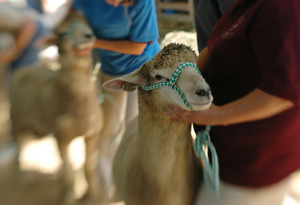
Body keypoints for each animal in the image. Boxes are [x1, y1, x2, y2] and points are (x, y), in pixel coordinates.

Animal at [9, 11, 103, 205]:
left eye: (86, 21)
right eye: (61, 33)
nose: (88, 36)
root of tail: (26, 68)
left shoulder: (93, 133)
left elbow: (88, 167)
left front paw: (91, 195)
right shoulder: (61, 138)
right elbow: (69, 173)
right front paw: (68, 197)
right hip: (17, 117)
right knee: (20, 143)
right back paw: (22, 172)